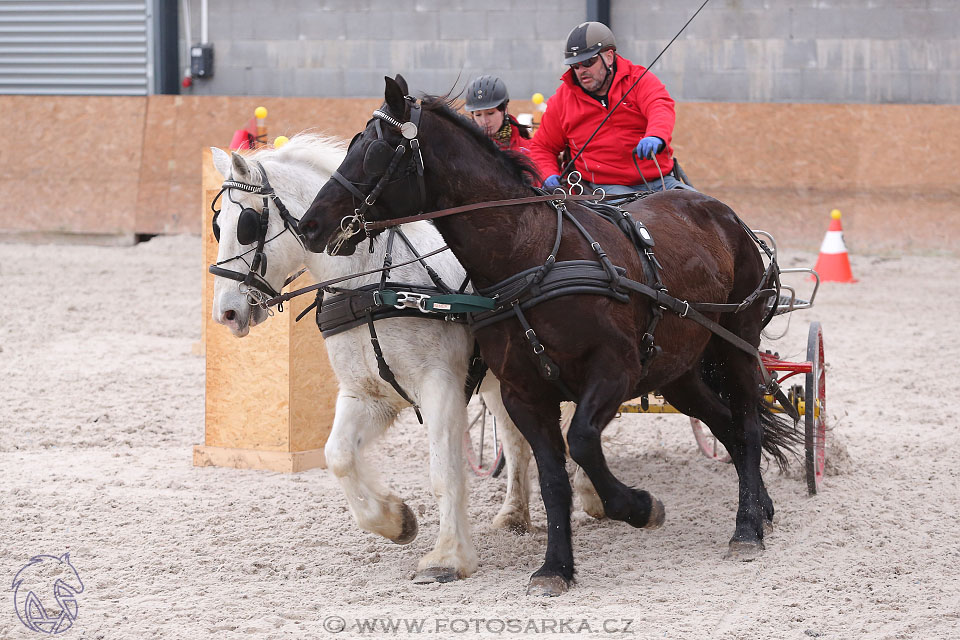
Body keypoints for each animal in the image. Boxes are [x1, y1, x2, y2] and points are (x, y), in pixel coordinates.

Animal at [209, 136, 532, 584]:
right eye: (217, 227)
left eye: (248, 225)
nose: (225, 313)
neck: (371, 284)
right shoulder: (367, 395)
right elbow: (339, 456)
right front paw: (395, 520)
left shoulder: (442, 387)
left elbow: (444, 473)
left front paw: (448, 557)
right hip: (500, 381)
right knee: (519, 438)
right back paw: (515, 515)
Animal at [298, 77, 796, 596]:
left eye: (377, 149)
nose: (310, 225)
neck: (532, 255)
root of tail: (720, 211)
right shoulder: (524, 392)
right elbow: (553, 476)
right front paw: (556, 566)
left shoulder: (614, 371)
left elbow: (581, 442)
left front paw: (639, 506)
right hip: (680, 370)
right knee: (727, 426)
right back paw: (760, 508)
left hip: (736, 346)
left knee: (748, 423)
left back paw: (747, 528)